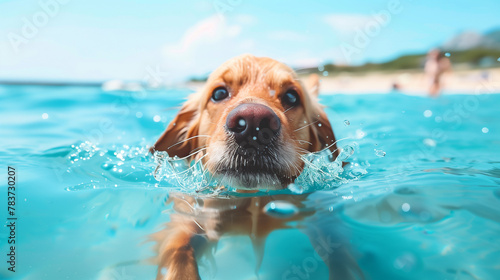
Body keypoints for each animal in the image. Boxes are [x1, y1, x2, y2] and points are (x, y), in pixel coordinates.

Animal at [148, 53, 356, 278]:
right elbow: (179, 252)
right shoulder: (191, 217)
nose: (252, 123)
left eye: (292, 96)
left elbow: (341, 256)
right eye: (219, 93)